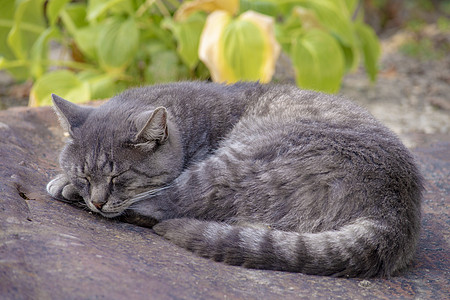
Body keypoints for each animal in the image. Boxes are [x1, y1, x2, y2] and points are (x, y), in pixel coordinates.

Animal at [47, 81, 424, 278]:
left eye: (120, 177)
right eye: (85, 175)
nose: (97, 201)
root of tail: (395, 211)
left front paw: (65, 187)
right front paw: (66, 182)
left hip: (233, 165)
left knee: (165, 208)